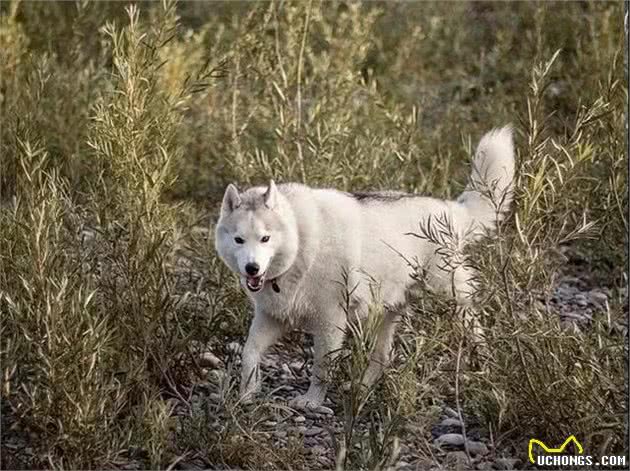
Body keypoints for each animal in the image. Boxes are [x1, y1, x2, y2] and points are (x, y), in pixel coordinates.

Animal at [215, 126, 516, 410]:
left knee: (475, 329)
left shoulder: (330, 321)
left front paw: (312, 401)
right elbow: (249, 354)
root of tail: (450, 209)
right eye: (239, 239)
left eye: (265, 238)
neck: (300, 242)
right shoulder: (272, 317)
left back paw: (484, 363)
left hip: (451, 299)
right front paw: (247, 394)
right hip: (385, 310)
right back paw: (360, 388)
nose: (252, 268)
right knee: (383, 357)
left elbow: (321, 368)